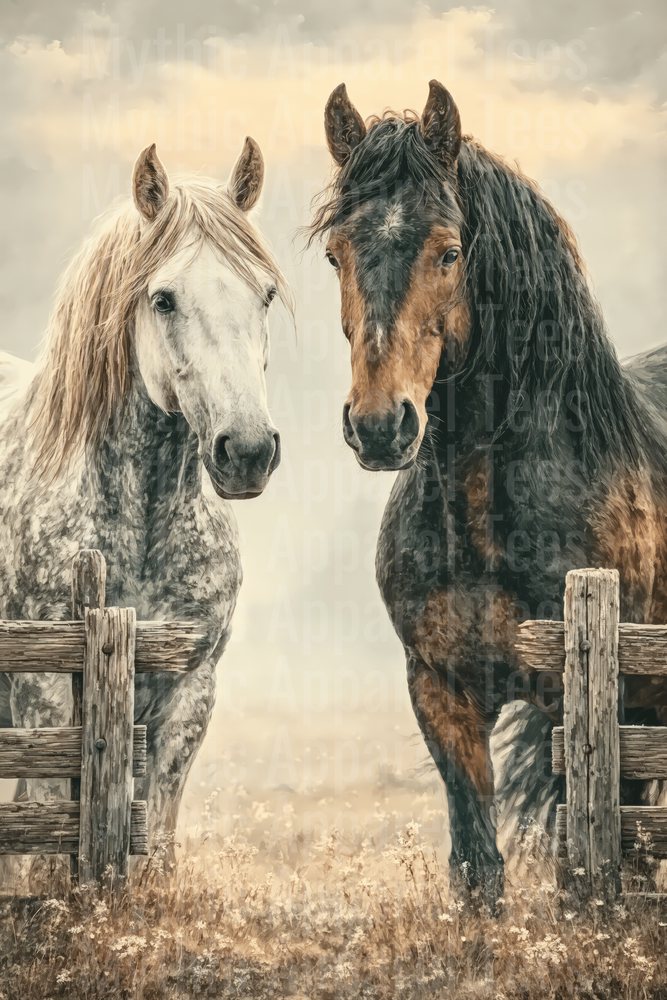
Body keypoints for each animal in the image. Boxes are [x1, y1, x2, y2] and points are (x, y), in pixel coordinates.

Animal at [0, 139, 291, 872]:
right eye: (163, 299)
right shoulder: (45, 692)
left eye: (265, 294)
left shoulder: (186, 693)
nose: (247, 450)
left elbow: (152, 837)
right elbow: (51, 832)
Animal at [310, 80, 667, 904]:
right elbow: (476, 866)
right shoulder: (442, 693)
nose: (379, 426)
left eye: (448, 251)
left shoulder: (607, 705)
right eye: (335, 252)